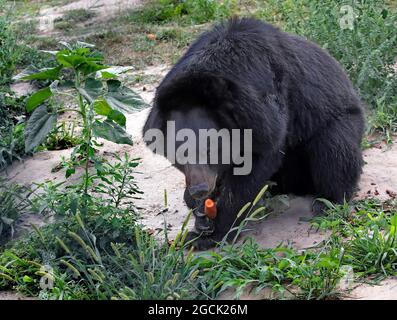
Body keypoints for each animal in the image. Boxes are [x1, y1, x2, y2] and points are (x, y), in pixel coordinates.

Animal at [143, 17, 366, 250]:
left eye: (211, 148)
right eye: (178, 154)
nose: (200, 189)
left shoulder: (261, 110)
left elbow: (254, 167)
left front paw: (210, 233)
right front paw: (199, 209)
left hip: (341, 121)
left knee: (334, 150)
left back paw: (328, 202)